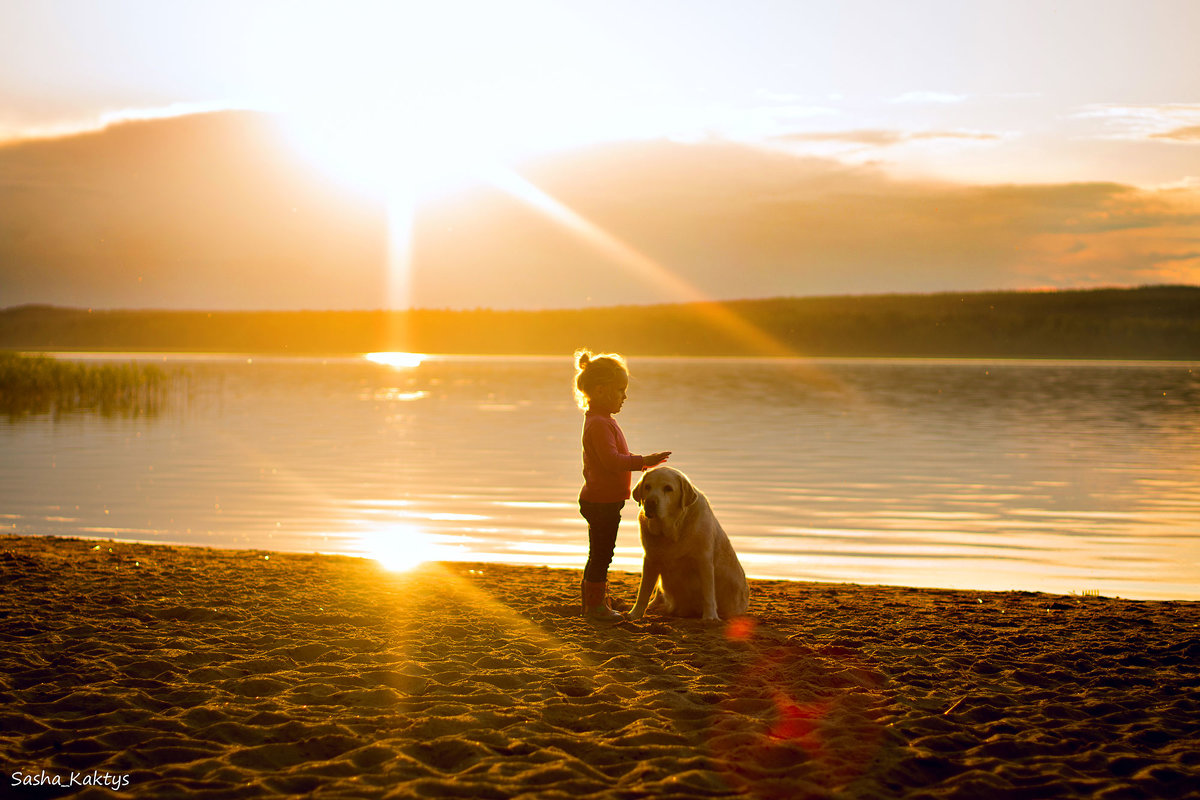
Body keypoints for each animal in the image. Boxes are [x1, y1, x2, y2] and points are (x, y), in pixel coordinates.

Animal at [628, 465, 748, 623]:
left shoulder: (704, 561)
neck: (672, 530)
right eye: (647, 486)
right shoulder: (651, 559)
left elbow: (708, 593)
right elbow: (643, 591)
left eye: (668, 488)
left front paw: (710, 617)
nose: (650, 503)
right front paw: (635, 614)